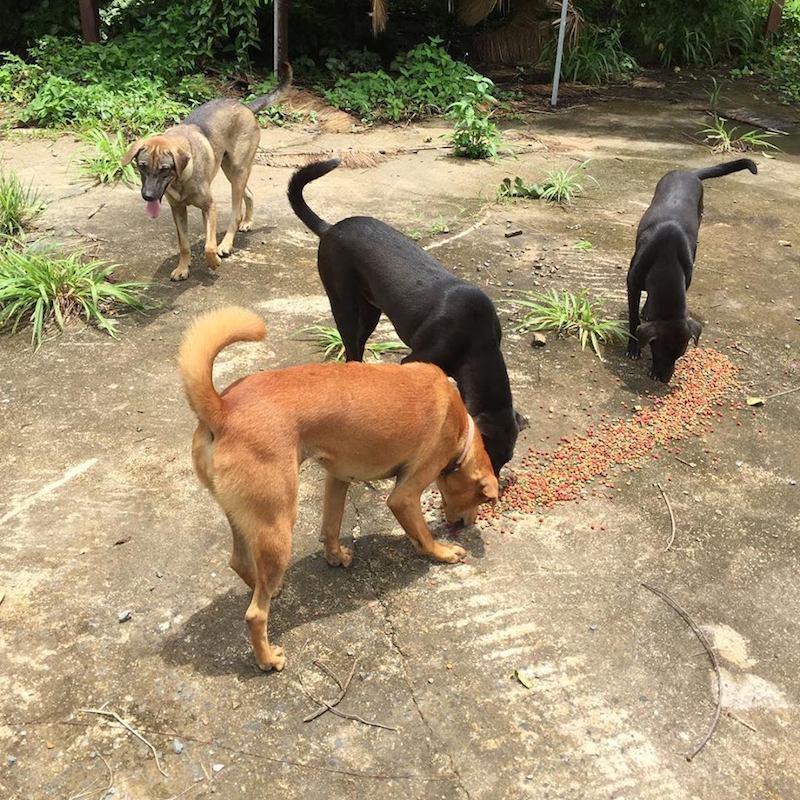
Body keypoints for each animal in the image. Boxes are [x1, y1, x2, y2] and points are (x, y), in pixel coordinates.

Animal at [122, 66, 290, 284]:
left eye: (164, 169)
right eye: (142, 166)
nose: (148, 196)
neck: (181, 179)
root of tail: (244, 106)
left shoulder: (209, 206)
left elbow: (209, 245)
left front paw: (213, 260)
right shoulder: (178, 210)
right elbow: (184, 244)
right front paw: (183, 268)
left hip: (238, 170)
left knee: (236, 212)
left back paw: (226, 244)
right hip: (230, 169)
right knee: (249, 193)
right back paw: (247, 222)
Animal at [180, 306, 500, 668]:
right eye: (480, 499)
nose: (467, 524)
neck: (461, 429)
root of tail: (222, 409)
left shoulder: (338, 478)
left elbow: (331, 526)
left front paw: (335, 556)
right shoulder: (404, 496)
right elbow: (422, 533)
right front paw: (442, 552)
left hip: (245, 516)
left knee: (241, 563)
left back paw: (272, 588)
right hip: (278, 526)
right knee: (254, 614)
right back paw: (268, 658)